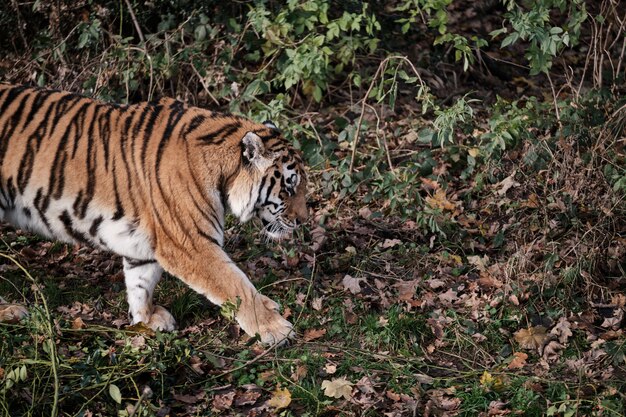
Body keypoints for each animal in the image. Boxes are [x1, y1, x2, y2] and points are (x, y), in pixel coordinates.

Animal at [0, 83, 304, 344]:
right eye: (290, 187)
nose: (303, 220)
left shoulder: (146, 239)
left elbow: (141, 281)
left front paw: (146, 319)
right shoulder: (191, 243)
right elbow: (236, 285)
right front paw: (275, 328)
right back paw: (12, 311)